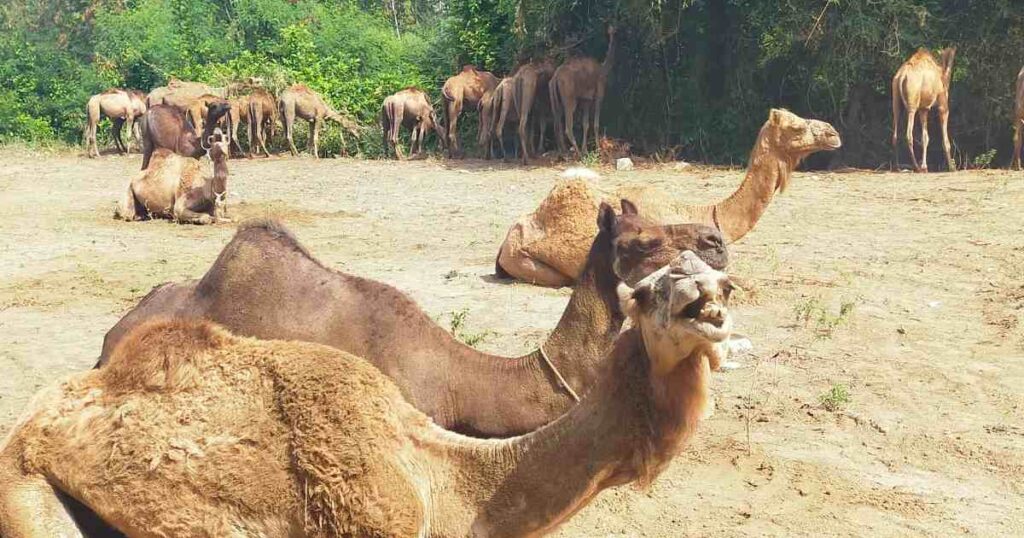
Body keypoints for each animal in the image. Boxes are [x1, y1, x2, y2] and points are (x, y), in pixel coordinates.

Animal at [550, 26, 616, 156]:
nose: (612, 30)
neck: (603, 69)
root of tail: (555, 77)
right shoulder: (599, 95)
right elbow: (595, 124)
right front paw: (597, 149)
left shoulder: (586, 100)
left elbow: (585, 124)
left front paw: (586, 149)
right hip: (569, 100)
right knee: (567, 127)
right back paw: (577, 153)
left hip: (555, 100)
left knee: (556, 125)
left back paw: (564, 153)